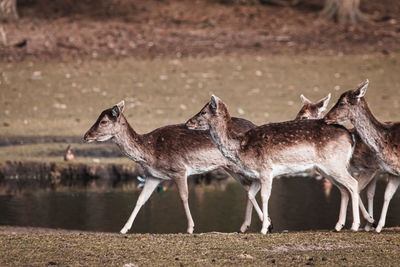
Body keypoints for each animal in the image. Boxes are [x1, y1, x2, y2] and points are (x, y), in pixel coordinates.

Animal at [83, 100, 268, 234]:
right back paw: (247, 226)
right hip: (229, 167)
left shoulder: (179, 169)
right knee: (248, 187)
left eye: (103, 121)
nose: (86, 136)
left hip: (240, 165)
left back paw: (264, 223)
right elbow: (141, 199)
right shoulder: (153, 176)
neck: (149, 152)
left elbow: (184, 197)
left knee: (255, 183)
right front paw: (123, 229)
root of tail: (254, 125)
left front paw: (190, 228)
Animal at [185, 95, 376, 233]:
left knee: (353, 183)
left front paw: (264, 228)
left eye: (203, 112)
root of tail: (350, 136)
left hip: (334, 164)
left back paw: (354, 226)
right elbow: (250, 194)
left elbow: (264, 196)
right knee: (343, 188)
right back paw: (338, 226)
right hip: (326, 168)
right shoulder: (257, 175)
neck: (241, 147)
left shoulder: (266, 170)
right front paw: (266, 225)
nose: (188, 122)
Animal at [324, 79, 400, 232]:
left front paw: (369, 222)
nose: (326, 118)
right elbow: (385, 195)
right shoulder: (392, 172)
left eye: (342, 103)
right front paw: (376, 225)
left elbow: (357, 189)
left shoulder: (370, 169)